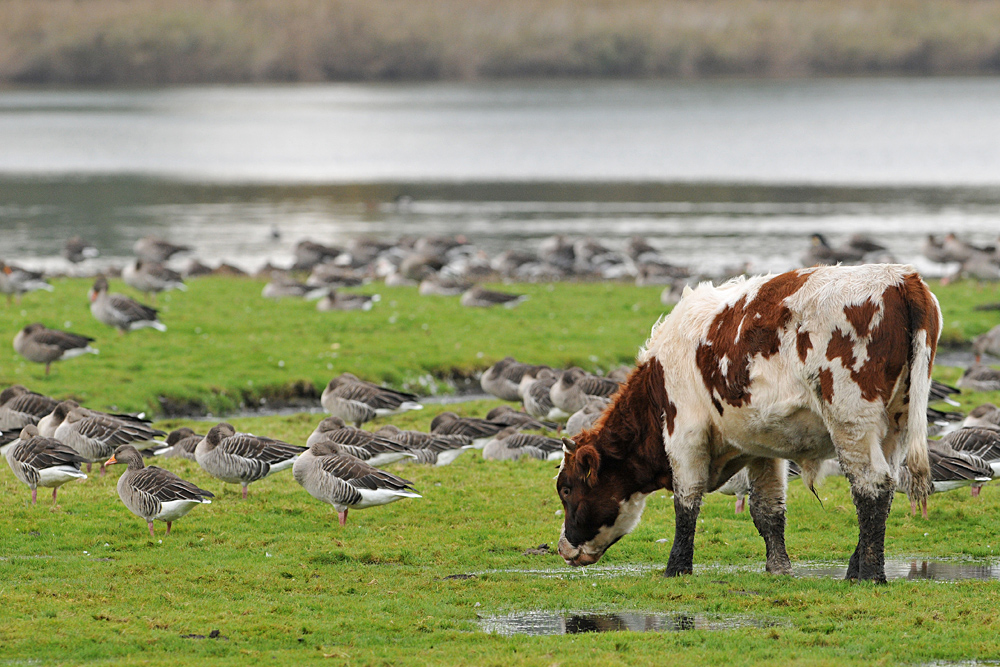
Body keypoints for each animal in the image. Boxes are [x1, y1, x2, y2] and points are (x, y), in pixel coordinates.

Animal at [556, 264, 936, 580]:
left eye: (566, 488)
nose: (563, 546)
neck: (657, 380)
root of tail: (901, 278)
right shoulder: (761, 448)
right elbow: (767, 511)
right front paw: (779, 568)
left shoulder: (685, 432)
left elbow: (686, 503)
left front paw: (676, 568)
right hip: (895, 426)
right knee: (885, 489)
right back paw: (856, 568)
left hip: (852, 420)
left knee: (871, 486)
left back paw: (869, 574)